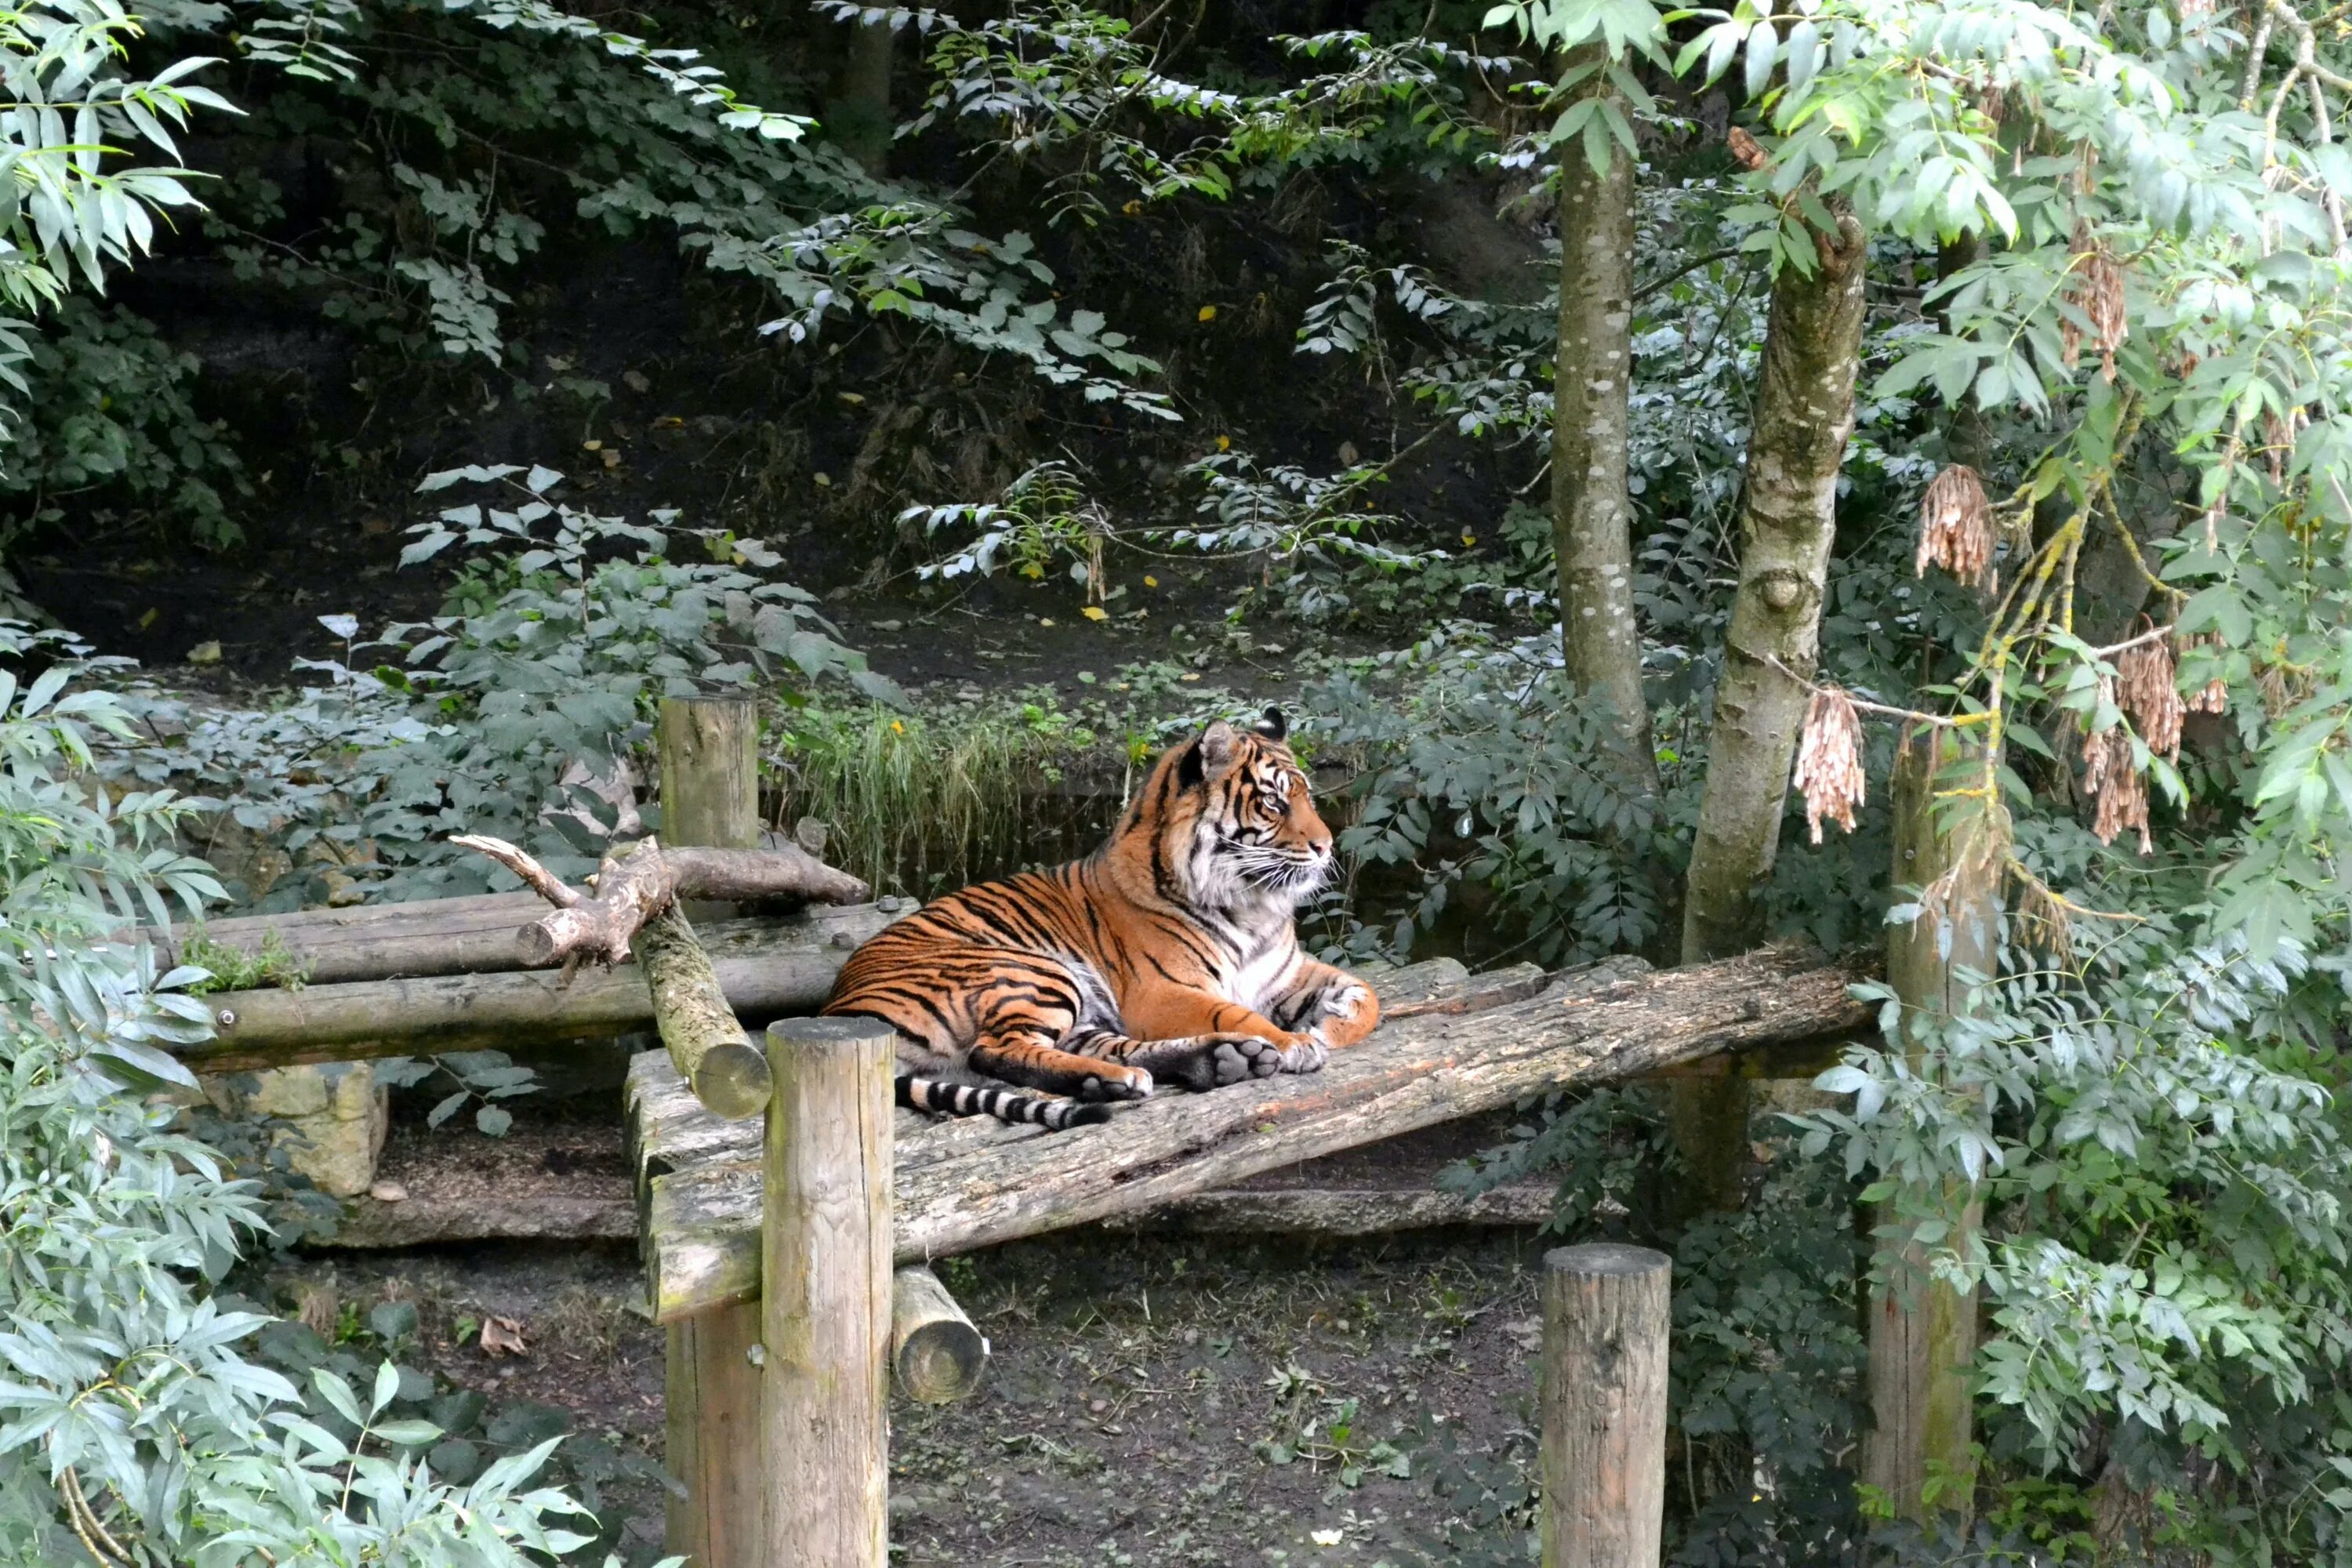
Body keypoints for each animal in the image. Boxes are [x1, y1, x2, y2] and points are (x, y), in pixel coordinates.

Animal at [828, 710, 1374, 1128]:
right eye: (1273, 802)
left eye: (1308, 797)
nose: (1326, 846)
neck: (1252, 905)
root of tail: (839, 1007)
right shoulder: (1161, 991)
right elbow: (1239, 1013)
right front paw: (1295, 1041)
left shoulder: (1285, 973)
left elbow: (1368, 995)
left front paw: (1330, 1026)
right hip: (1030, 972)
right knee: (996, 1050)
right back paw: (1128, 1078)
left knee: (1104, 1049)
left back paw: (1211, 1063)